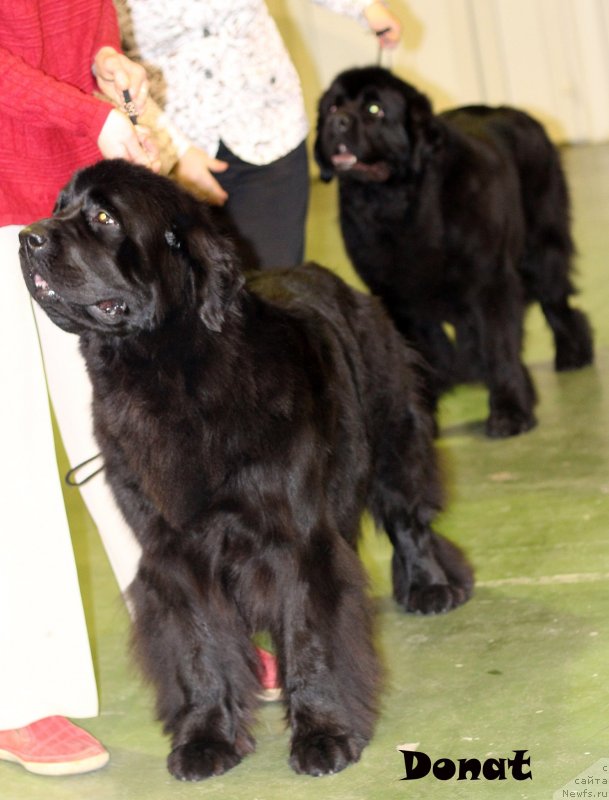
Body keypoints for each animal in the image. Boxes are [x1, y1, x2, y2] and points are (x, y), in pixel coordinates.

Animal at [19, 159, 472, 780]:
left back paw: (430, 587)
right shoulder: (174, 550)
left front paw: (323, 735)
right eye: (57, 207)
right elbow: (201, 647)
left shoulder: (295, 539)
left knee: (409, 513)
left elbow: (309, 633)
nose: (26, 237)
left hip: (393, 428)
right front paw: (207, 740)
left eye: (105, 217)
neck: (170, 378)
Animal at [316, 66, 592, 438]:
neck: (401, 205)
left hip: (541, 248)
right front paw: (423, 412)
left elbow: (498, 345)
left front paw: (510, 412)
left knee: (555, 301)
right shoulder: (399, 299)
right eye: (333, 107)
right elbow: (423, 351)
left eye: (375, 109)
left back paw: (573, 354)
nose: (337, 122)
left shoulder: (489, 280)